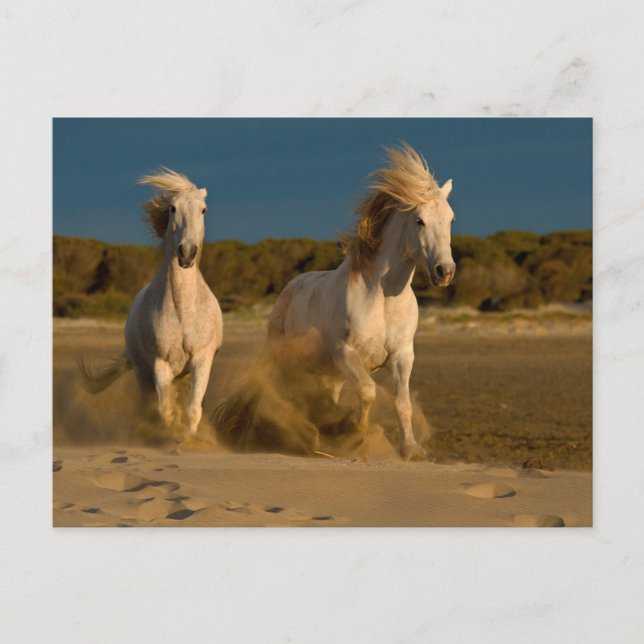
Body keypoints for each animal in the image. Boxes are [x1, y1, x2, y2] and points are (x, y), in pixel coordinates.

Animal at [79, 168, 223, 437]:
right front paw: (171, 435)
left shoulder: (201, 359)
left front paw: (189, 438)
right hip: (143, 372)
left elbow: (192, 409)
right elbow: (165, 410)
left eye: (203, 210)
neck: (183, 310)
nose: (187, 253)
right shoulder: (160, 364)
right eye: (173, 208)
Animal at [214, 143, 456, 460]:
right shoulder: (346, 354)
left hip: (329, 375)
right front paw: (348, 433)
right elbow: (368, 392)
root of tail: (288, 289)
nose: (445, 271)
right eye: (419, 221)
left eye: (451, 219)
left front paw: (411, 450)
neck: (382, 299)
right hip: (292, 363)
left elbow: (402, 403)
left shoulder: (403, 355)